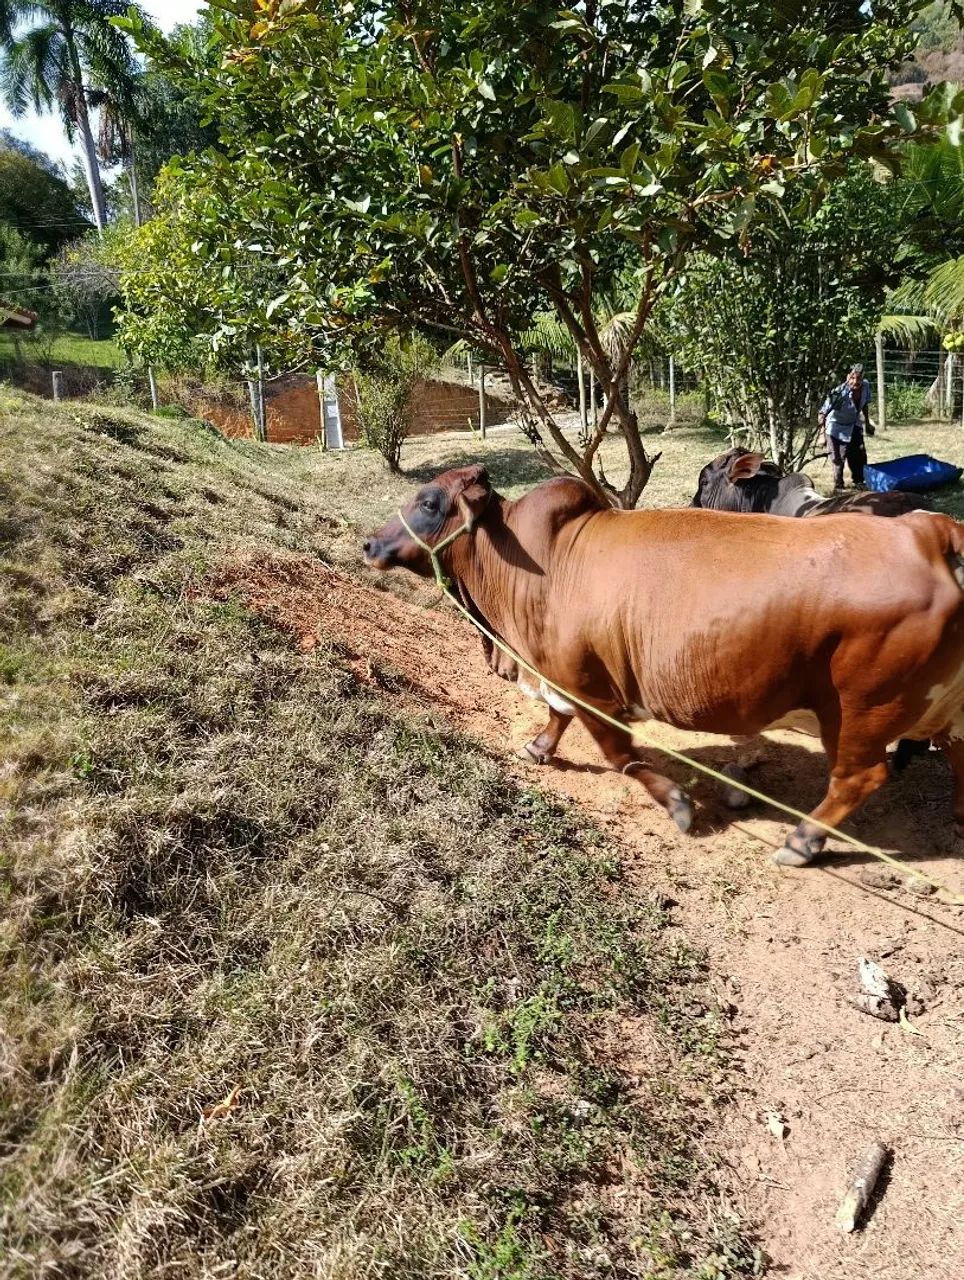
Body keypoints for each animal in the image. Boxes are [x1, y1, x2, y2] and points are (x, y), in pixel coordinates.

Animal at [364, 464, 964, 867]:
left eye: (427, 502)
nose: (370, 543)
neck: (547, 561)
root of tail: (931, 531)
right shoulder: (564, 680)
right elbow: (558, 719)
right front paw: (538, 747)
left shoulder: (591, 688)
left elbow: (618, 753)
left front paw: (676, 801)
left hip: (861, 709)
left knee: (859, 777)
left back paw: (802, 841)